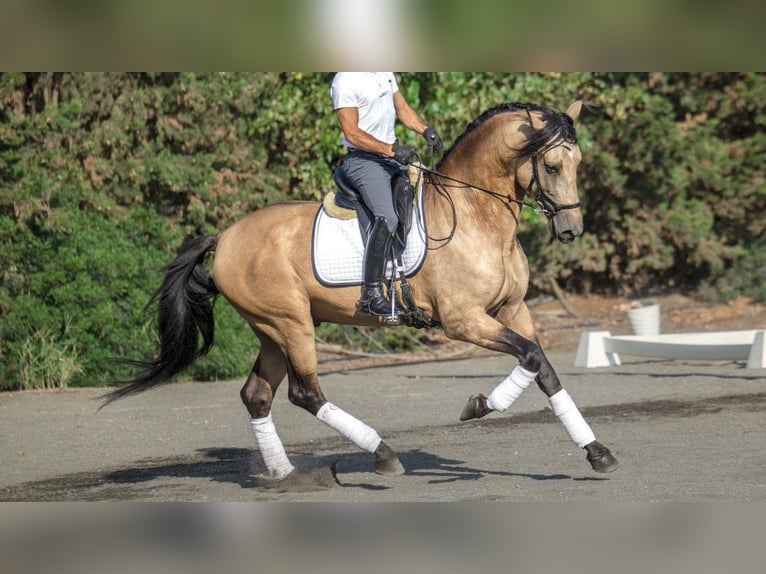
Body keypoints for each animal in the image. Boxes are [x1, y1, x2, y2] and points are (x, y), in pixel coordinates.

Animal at [105, 102, 624, 482]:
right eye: (552, 165)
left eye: (577, 163)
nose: (572, 230)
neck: (477, 215)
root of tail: (226, 236)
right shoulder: (463, 321)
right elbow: (531, 358)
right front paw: (478, 406)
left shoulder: (513, 310)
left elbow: (543, 366)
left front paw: (596, 451)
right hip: (291, 323)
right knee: (305, 392)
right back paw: (382, 453)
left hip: (272, 329)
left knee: (257, 395)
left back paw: (286, 474)